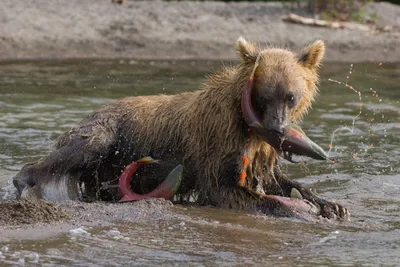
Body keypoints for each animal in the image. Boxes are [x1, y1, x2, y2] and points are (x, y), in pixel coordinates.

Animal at [11, 37, 350, 220]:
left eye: (290, 96)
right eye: (264, 96)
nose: (278, 129)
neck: (245, 123)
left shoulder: (258, 152)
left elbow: (275, 179)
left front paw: (331, 205)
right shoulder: (217, 141)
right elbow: (227, 188)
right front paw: (299, 209)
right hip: (106, 132)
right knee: (75, 150)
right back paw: (25, 184)